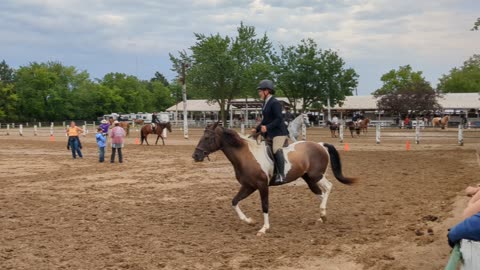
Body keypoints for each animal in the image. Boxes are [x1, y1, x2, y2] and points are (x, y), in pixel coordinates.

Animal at [193, 122, 358, 236]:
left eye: (207, 138)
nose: (195, 156)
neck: (245, 155)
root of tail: (320, 145)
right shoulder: (248, 186)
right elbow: (234, 201)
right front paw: (249, 221)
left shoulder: (262, 185)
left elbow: (265, 205)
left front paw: (264, 229)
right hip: (310, 179)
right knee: (321, 194)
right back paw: (322, 217)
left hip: (315, 175)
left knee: (328, 187)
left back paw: (323, 213)